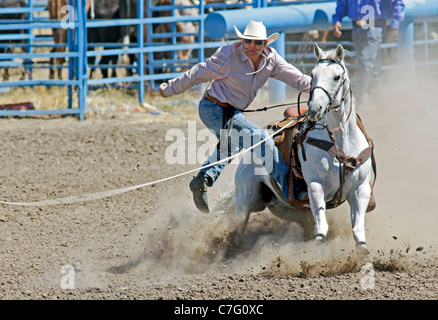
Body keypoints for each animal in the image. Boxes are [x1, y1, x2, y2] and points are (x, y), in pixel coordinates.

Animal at [231, 43, 374, 250]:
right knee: (237, 230)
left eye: (336, 77)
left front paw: (362, 250)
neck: (340, 140)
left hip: (286, 208)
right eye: (312, 74)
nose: (315, 108)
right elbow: (321, 226)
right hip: (244, 199)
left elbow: (357, 228)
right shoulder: (315, 185)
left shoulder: (360, 189)